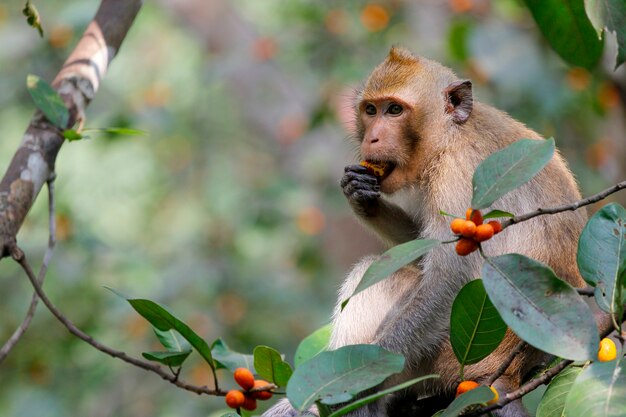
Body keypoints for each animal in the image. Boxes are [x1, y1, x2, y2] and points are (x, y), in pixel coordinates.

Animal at [262, 46, 584, 416]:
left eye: (395, 110)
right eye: (371, 110)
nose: (372, 137)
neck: (452, 134)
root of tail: (511, 371)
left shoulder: (459, 176)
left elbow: (448, 280)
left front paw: (357, 383)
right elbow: (419, 250)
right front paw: (362, 197)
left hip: (447, 358)